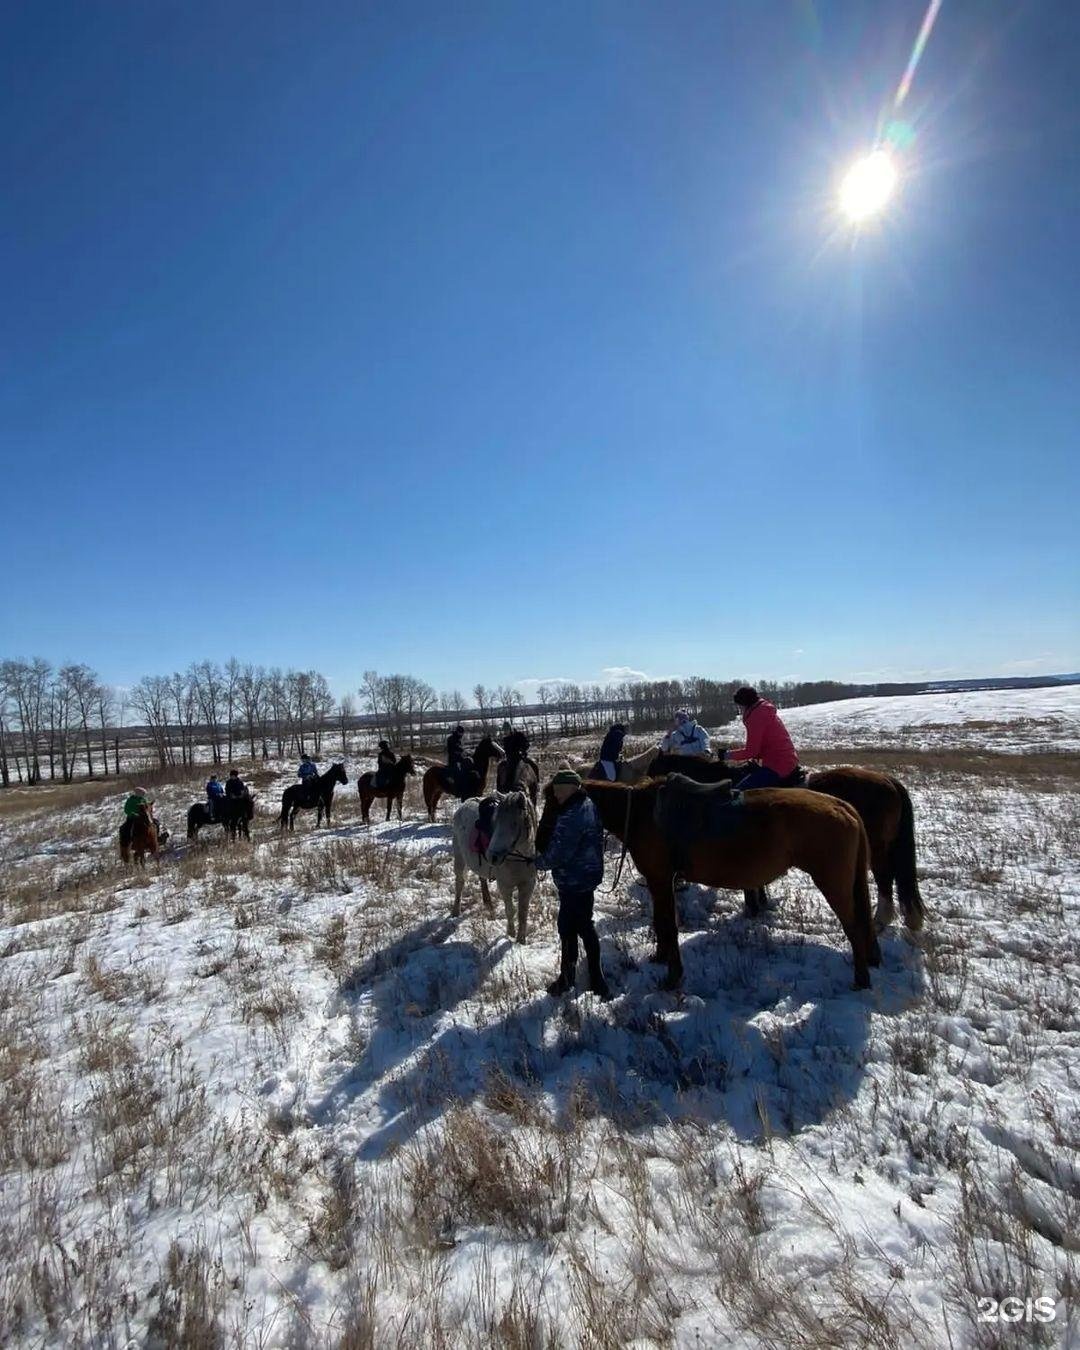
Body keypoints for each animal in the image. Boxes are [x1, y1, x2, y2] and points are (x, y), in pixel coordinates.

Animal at [448, 788, 537, 945]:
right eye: (496, 821)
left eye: (514, 823)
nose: (492, 856)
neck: (518, 859)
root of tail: (465, 803)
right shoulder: (504, 885)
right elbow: (510, 910)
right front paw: (510, 934)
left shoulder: (528, 885)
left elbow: (523, 913)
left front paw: (521, 940)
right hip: (459, 858)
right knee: (460, 883)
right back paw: (456, 911)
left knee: (482, 879)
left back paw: (488, 905)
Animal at [561, 783, 880, 993]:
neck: (640, 813)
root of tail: (844, 807)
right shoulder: (661, 881)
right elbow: (662, 921)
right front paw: (660, 958)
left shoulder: (660, 880)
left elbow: (668, 925)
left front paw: (672, 977)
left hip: (833, 883)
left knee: (854, 927)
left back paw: (860, 980)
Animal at [645, 756, 923, 934]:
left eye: (653, 768)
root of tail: (889, 781)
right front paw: (760, 903)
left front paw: (753, 908)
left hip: (877, 848)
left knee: (885, 878)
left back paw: (880, 920)